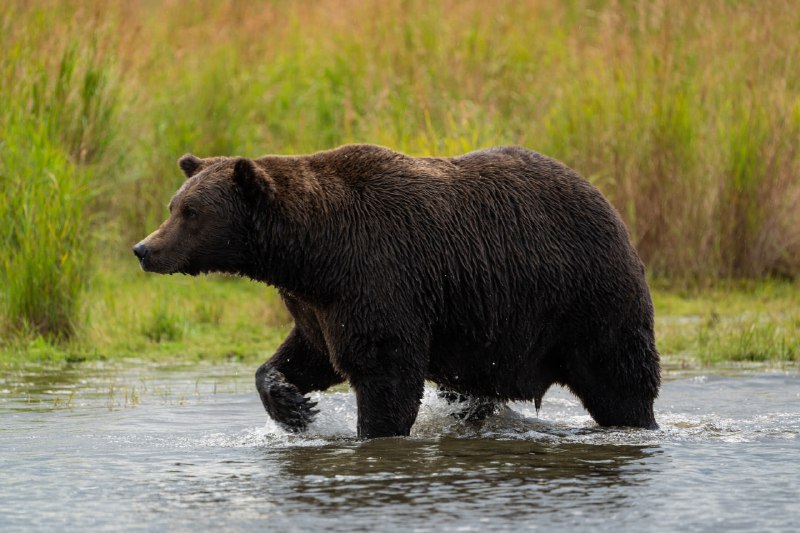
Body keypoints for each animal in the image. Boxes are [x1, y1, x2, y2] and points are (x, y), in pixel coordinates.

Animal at [134, 144, 664, 436]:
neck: (312, 252)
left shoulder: (380, 278)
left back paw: (637, 422)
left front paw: (370, 433)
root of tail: (608, 204)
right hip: (491, 333)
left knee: (620, 376)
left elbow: (384, 372)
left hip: (586, 298)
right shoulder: (318, 303)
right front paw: (294, 405)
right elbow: (308, 356)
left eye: (191, 212)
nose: (144, 249)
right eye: (174, 204)